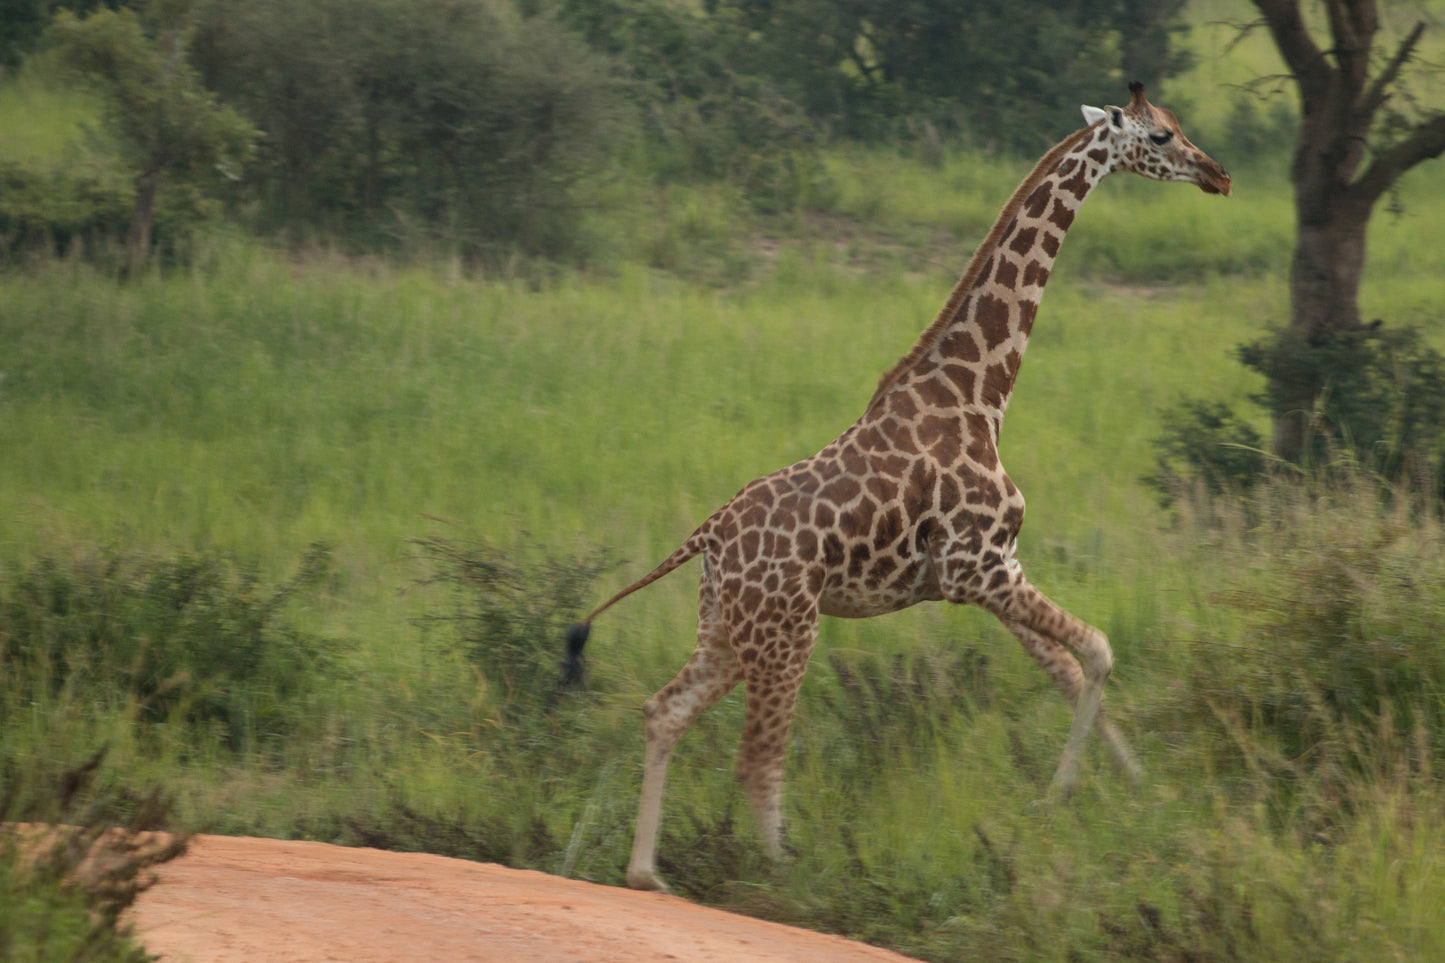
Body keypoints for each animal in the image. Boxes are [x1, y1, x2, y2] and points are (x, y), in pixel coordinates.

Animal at [563, 84, 1231, 890]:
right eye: (1160, 136)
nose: (1218, 174)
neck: (980, 394)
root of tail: (708, 535)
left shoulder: (985, 573)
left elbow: (1070, 671)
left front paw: (1137, 792)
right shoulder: (981, 567)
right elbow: (1097, 651)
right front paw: (1061, 795)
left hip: (727, 626)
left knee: (664, 710)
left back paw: (647, 875)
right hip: (790, 629)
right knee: (756, 761)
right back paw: (789, 880)